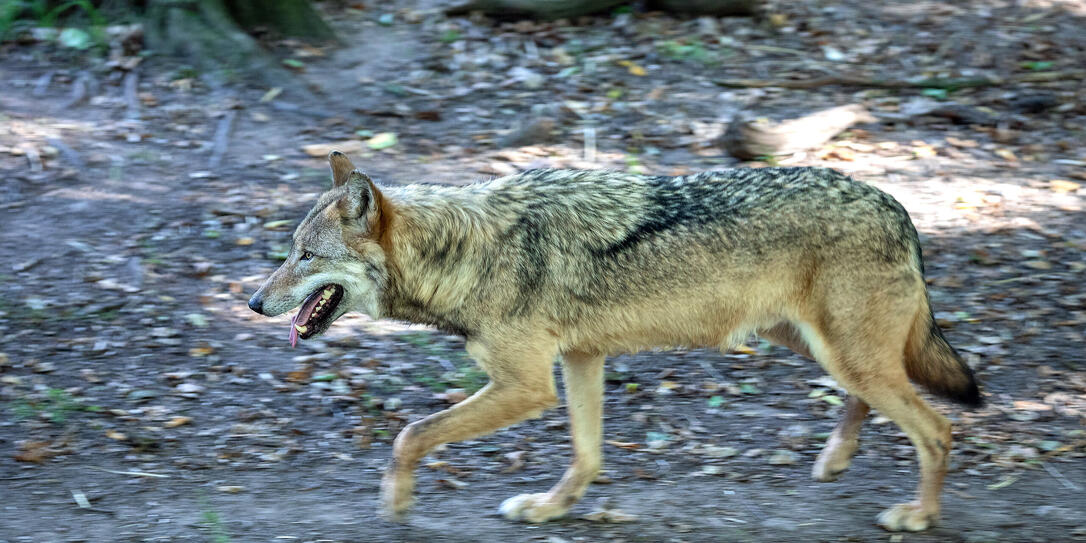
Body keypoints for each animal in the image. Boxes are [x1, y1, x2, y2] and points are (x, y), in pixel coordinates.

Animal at [249, 150, 981, 532]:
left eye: (304, 256)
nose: (254, 302)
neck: (467, 252)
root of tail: (897, 206)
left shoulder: (526, 385)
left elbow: (409, 434)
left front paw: (394, 502)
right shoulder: (581, 359)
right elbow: (588, 455)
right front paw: (550, 508)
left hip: (843, 353)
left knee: (938, 427)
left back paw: (919, 514)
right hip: (817, 347)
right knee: (877, 402)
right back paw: (835, 458)